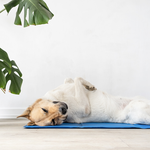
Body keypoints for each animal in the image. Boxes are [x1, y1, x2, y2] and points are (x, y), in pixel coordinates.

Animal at [17, 77, 150, 125]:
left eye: (44, 109)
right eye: (54, 121)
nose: (64, 109)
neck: (60, 97)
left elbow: (71, 79)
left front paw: (89, 86)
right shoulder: (84, 108)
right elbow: (77, 78)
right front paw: (89, 85)